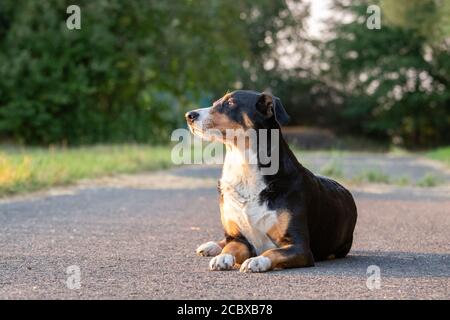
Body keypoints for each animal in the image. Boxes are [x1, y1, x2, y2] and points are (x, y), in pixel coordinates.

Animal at [185, 90, 356, 272]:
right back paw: (211, 246)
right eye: (215, 102)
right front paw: (222, 256)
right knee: (226, 239)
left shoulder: (299, 247)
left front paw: (256, 261)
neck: (244, 168)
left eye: (230, 103)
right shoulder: (239, 238)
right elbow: (231, 246)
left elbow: (273, 252)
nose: (189, 115)